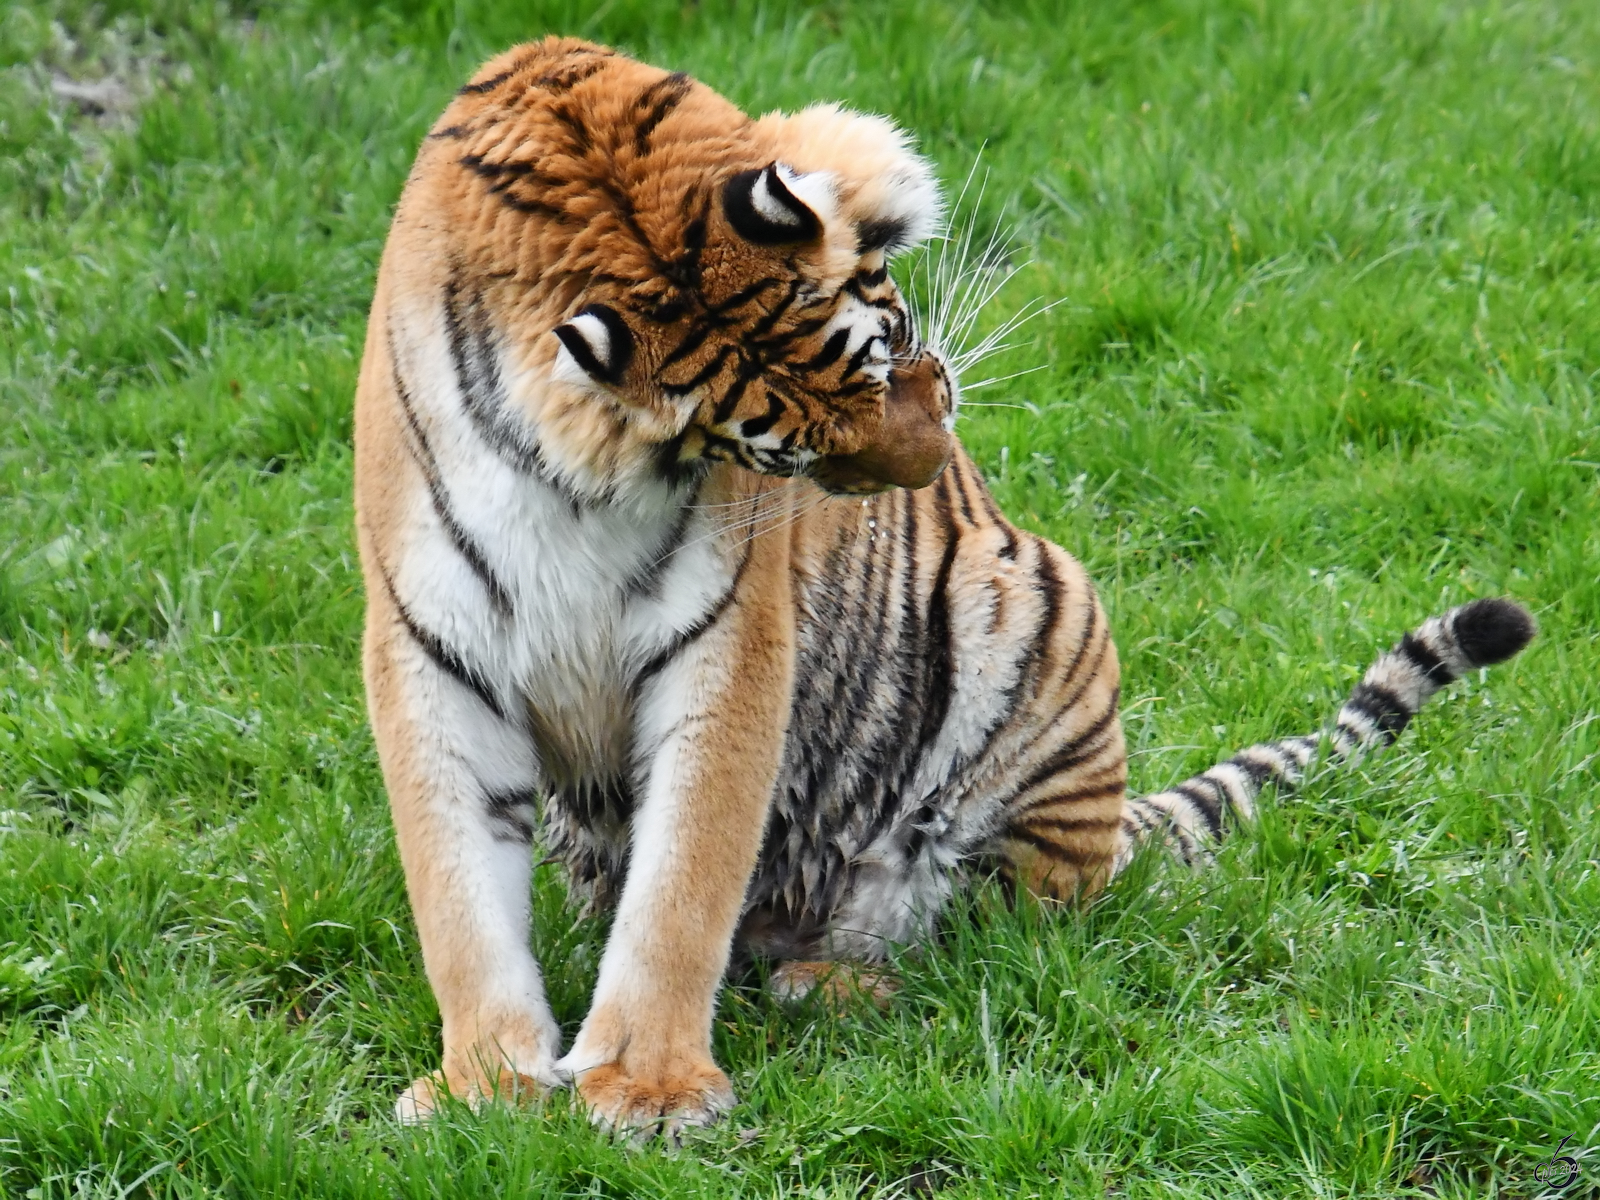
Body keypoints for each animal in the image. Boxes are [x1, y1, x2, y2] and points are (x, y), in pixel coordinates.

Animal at [353, 37, 1536, 1139]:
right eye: (786, 452)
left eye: (885, 352)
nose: (930, 466)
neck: (578, 475)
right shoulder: (428, 648)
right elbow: (459, 896)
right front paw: (485, 1087)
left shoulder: (726, 642)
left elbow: (682, 886)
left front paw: (648, 1088)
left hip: (1034, 638)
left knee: (992, 941)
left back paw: (831, 982)